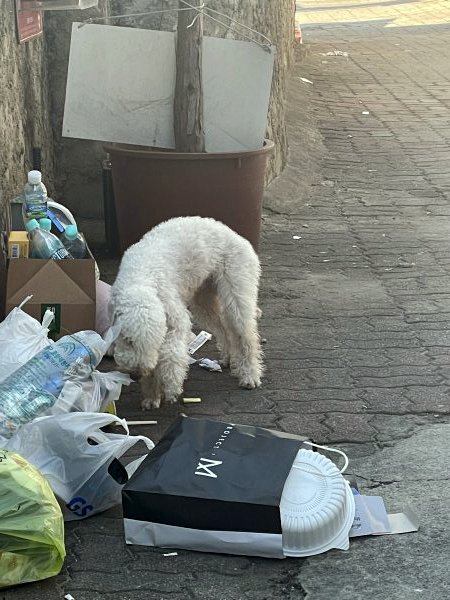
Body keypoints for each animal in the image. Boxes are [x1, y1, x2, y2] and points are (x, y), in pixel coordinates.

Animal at [110, 218, 262, 410]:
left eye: (154, 343)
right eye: (128, 340)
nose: (135, 375)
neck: (141, 278)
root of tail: (236, 235)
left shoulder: (176, 319)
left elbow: (172, 353)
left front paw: (172, 387)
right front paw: (152, 396)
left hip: (237, 293)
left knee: (246, 337)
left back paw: (250, 376)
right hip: (203, 300)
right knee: (224, 329)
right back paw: (229, 358)